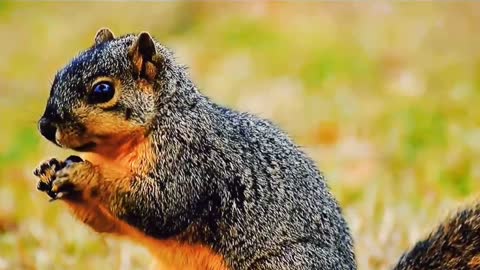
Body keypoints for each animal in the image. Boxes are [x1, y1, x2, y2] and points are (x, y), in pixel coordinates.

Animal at [31, 28, 480, 268]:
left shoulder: (190, 160)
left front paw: (82, 172)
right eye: (56, 74)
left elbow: (158, 205)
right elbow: (114, 223)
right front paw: (53, 171)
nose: (45, 126)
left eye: (103, 90)